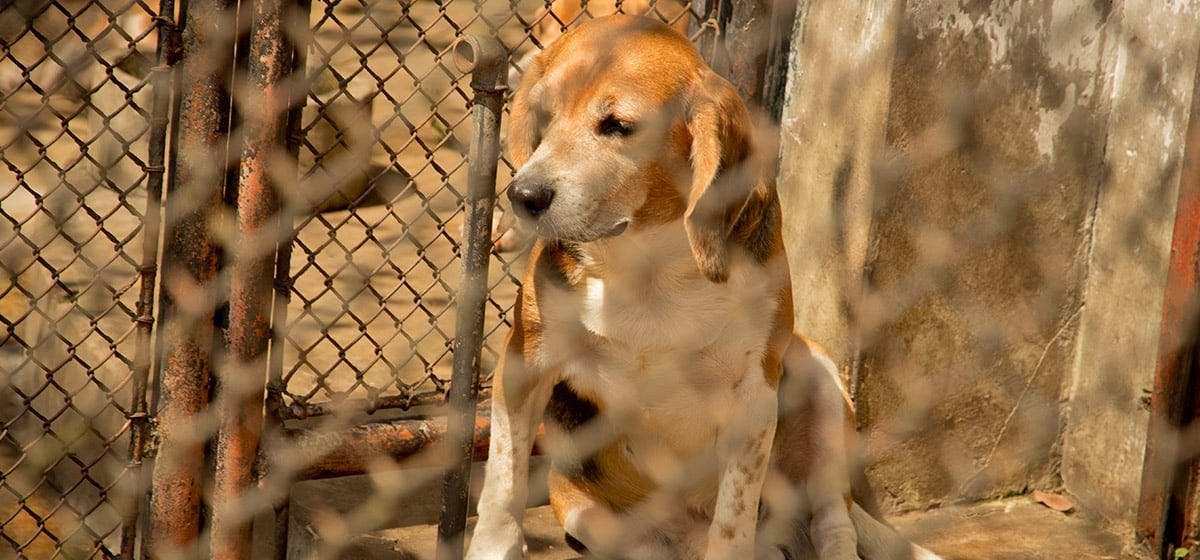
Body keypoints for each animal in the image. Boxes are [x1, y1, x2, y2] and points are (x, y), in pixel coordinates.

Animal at [463, 15, 940, 558]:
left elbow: (733, 519)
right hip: (591, 519)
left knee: (832, 525)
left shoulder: (753, 400)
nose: (522, 195)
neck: (648, 271)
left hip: (817, 375)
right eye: (543, 116)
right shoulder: (524, 366)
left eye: (617, 126)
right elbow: (503, 485)